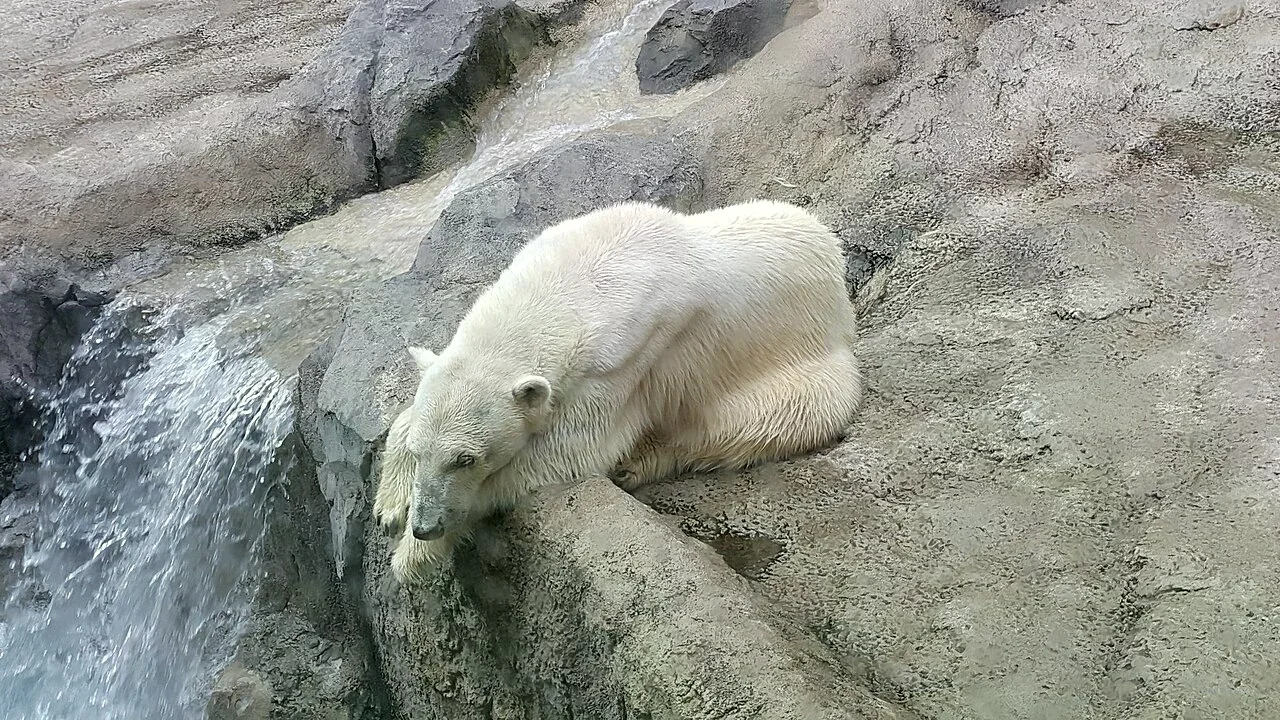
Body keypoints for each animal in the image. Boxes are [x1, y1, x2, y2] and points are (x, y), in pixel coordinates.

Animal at [374, 199, 863, 583]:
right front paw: (389, 502)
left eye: (466, 459)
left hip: (803, 369)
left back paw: (639, 463)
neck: (572, 280)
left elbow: (573, 449)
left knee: (751, 425)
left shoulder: (627, 359)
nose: (425, 525)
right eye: (420, 453)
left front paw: (412, 555)